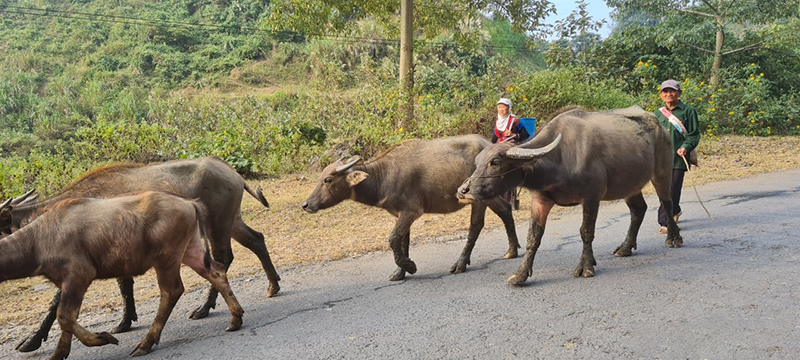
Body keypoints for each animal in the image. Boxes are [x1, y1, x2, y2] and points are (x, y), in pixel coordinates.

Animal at [0, 157, 276, 352]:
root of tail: (231, 170)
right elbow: (124, 285)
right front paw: (126, 320)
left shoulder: (80, 265)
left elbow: (58, 302)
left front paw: (33, 340)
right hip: (231, 223)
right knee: (255, 240)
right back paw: (272, 285)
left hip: (217, 228)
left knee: (222, 259)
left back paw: (206, 307)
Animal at [300, 135, 520, 282]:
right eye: (320, 178)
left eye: (328, 180)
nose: (306, 204)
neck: (383, 176)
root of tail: (489, 145)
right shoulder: (400, 214)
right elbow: (402, 240)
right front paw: (400, 272)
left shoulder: (412, 211)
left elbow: (393, 239)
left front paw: (410, 266)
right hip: (490, 196)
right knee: (505, 209)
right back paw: (512, 249)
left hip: (478, 200)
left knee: (475, 226)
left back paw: (460, 263)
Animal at [456, 105, 680, 286]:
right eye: (477, 162)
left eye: (495, 162)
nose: (463, 191)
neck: (560, 158)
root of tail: (660, 127)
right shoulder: (541, 200)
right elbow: (533, 237)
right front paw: (520, 274)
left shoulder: (591, 197)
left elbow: (586, 232)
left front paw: (586, 266)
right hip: (629, 185)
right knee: (638, 210)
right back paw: (625, 247)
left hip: (662, 172)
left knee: (667, 203)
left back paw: (674, 238)